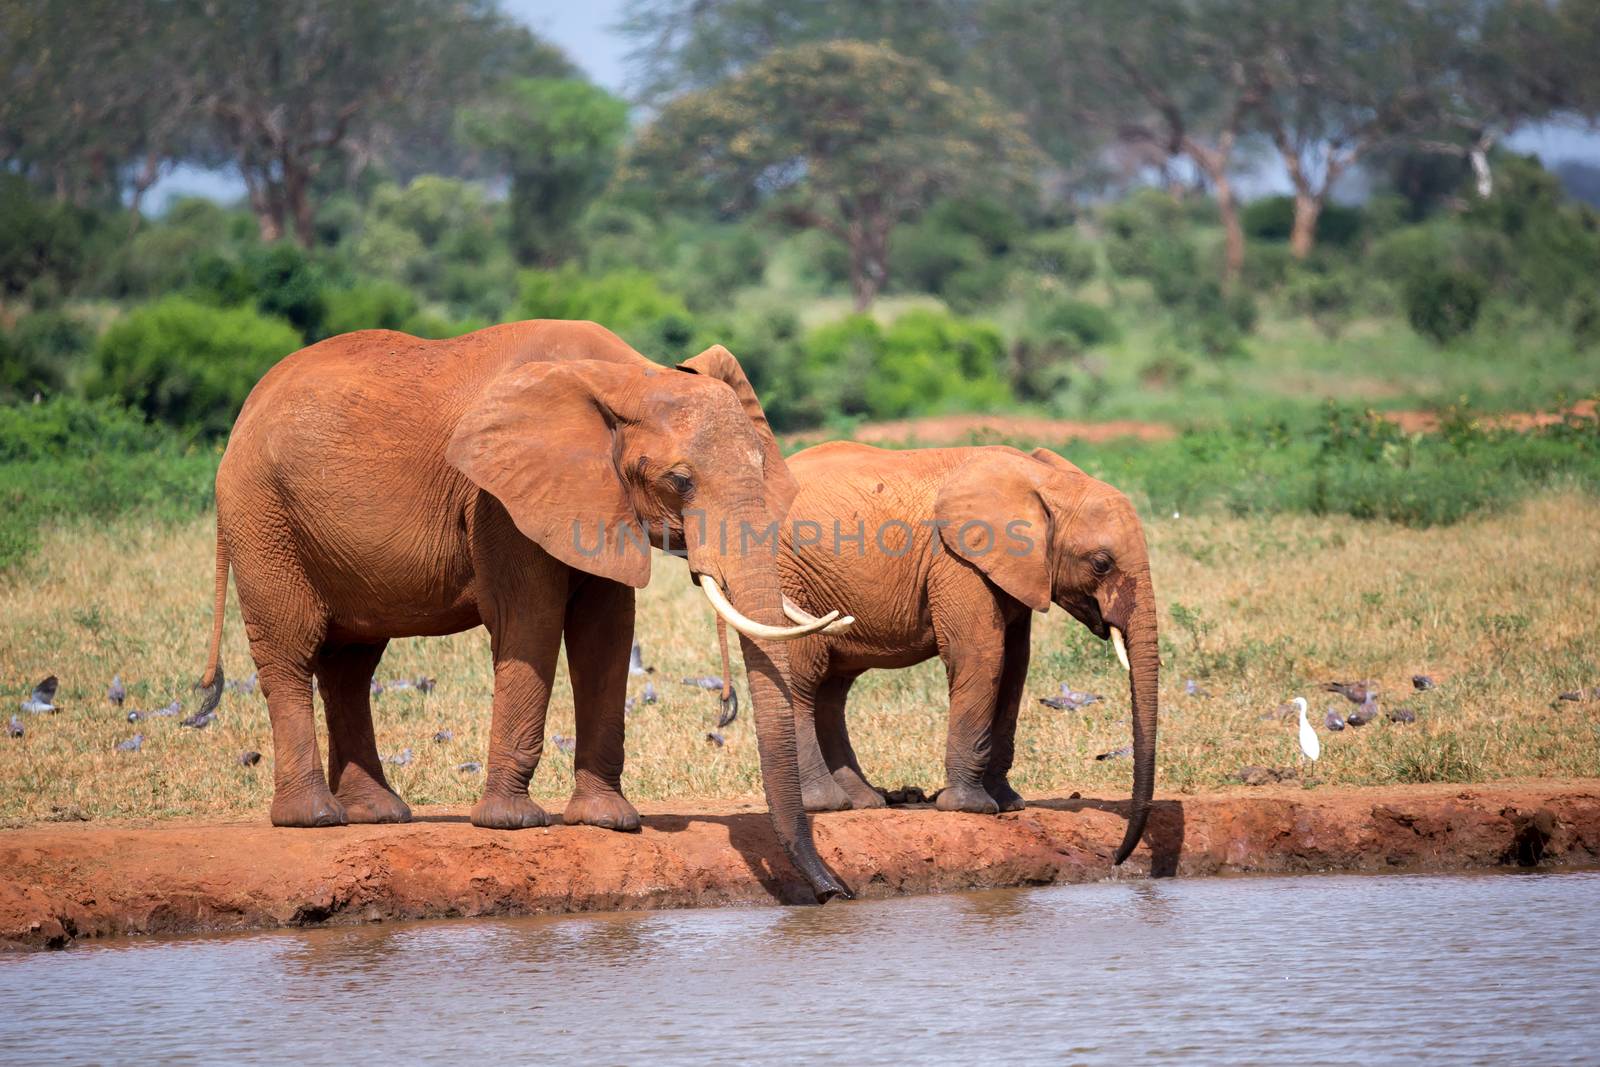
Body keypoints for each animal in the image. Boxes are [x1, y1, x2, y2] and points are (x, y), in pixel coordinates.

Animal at [193, 316, 857, 902]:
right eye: (680, 481)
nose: (834, 892)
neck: (628, 378)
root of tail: (245, 410)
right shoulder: (500, 500)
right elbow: (531, 624)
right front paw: (512, 823)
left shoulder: (599, 499)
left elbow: (606, 633)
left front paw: (608, 821)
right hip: (262, 513)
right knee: (292, 650)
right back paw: (315, 818)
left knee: (351, 664)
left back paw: (377, 814)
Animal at [768, 441, 1158, 870]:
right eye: (1101, 564)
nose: (1118, 857)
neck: (1045, 481)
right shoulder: (958, 562)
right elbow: (981, 656)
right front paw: (972, 807)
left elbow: (1015, 667)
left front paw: (1010, 804)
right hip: (790, 580)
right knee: (804, 678)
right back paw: (826, 802)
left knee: (833, 689)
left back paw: (863, 801)